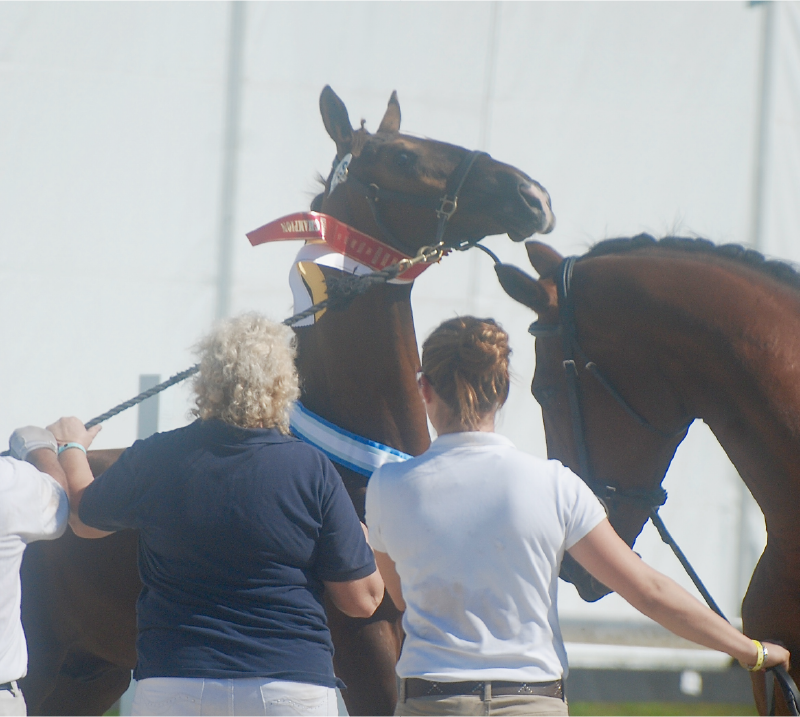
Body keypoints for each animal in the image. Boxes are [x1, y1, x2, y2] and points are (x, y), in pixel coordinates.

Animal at [20, 85, 556, 716]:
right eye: (402, 156)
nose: (531, 195)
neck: (363, 470)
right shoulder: (365, 655)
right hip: (38, 670)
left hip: (87, 674)